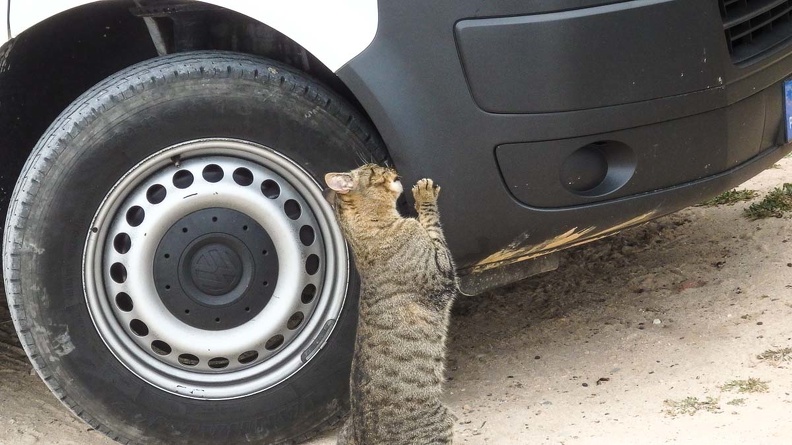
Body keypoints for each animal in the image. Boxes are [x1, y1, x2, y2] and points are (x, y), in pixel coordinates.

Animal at [324, 164, 458, 444]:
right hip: (442, 423)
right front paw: (424, 194)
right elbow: (432, 224)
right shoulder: (442, 275)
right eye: (374, 168)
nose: (389, 167)